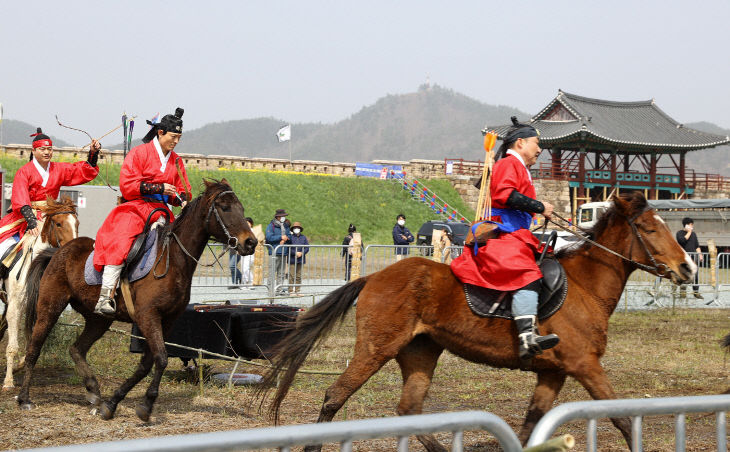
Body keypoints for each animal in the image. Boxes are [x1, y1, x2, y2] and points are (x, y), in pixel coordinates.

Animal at [1, 194, 78, 388]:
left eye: (77, 223)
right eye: (58, 224)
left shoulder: (39, 307)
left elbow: (32, 343)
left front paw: (20, 366)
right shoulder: (15, 307)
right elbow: (12, 346)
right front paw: (8, 381)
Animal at [15, 182, 258, 422]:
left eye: (241, 208)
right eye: (225, 207)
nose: (251, 242)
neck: (171, 259)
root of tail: (58, 252)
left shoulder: (166, 321)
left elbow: (148, 363)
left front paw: (113, 403)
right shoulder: (147, 316)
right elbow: (161, 358)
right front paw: (145, 405)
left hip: (98, 320)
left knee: (77, 349)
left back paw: (95, 394)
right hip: (50, 308)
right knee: (34, 349)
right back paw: (25, 398)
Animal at [258, 192, 692, 450]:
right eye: (649, 228)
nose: (687, 268)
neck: (586, 285)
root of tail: (375, 276)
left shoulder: (554, 372)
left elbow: (530, 424)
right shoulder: (585, 365)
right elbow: (622, 419)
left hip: (420, 351)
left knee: (408, 409)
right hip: (375, 348)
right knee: (335, 395)